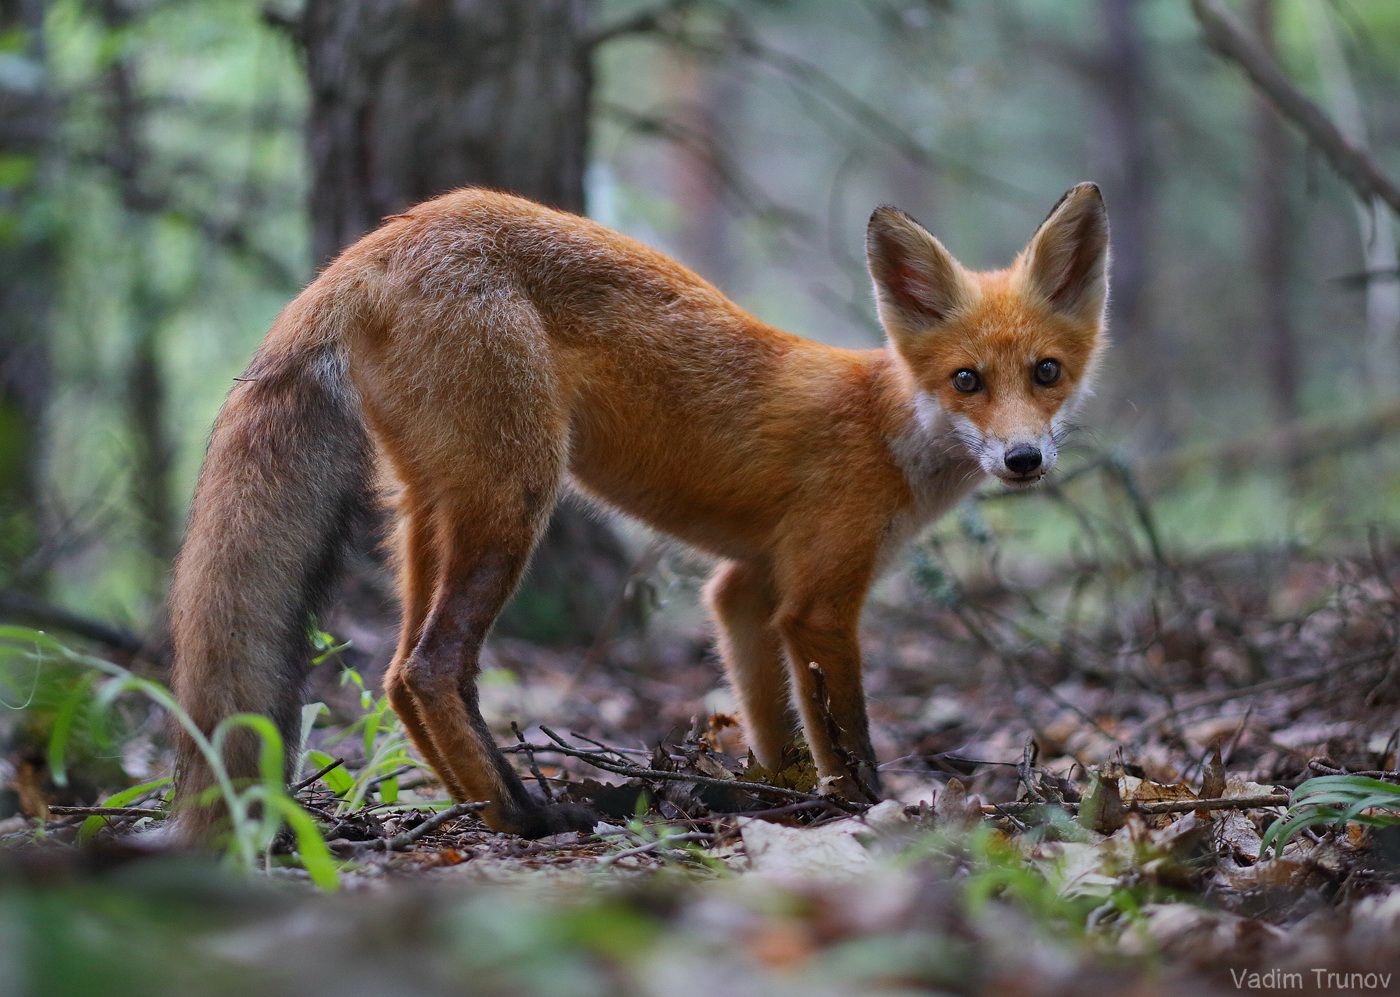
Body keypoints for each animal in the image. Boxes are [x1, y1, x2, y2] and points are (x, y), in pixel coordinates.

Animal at [172, 183, 1103, 834]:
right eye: (966, 380)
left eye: (1046, 373)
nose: (1023, 459)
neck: (884, 423)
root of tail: (377, 243)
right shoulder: (819, 600)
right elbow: (848, 738)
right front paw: (861, 809)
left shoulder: (746, 588)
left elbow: (774, 725)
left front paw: (781, 794)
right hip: (516, 498)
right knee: (433, 666)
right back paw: (524, 815)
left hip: (432, 512)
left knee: (401, 674)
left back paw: (488, 804)